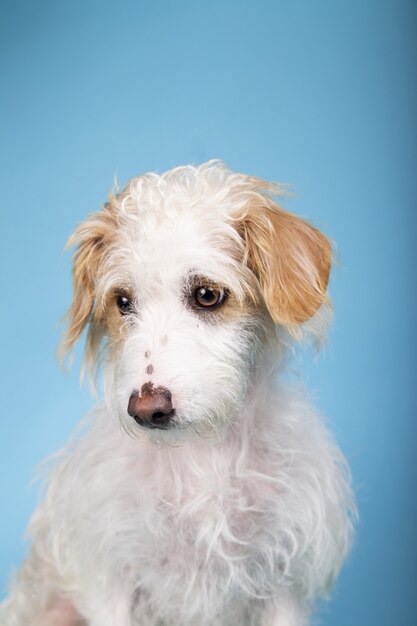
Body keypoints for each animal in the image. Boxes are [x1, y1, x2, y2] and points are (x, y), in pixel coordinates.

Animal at [1, 161, 354, 624]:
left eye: (207, 294)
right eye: (123, 301)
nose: (145, 409)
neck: (203, 456)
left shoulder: (284, 585)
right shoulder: (111, 582)